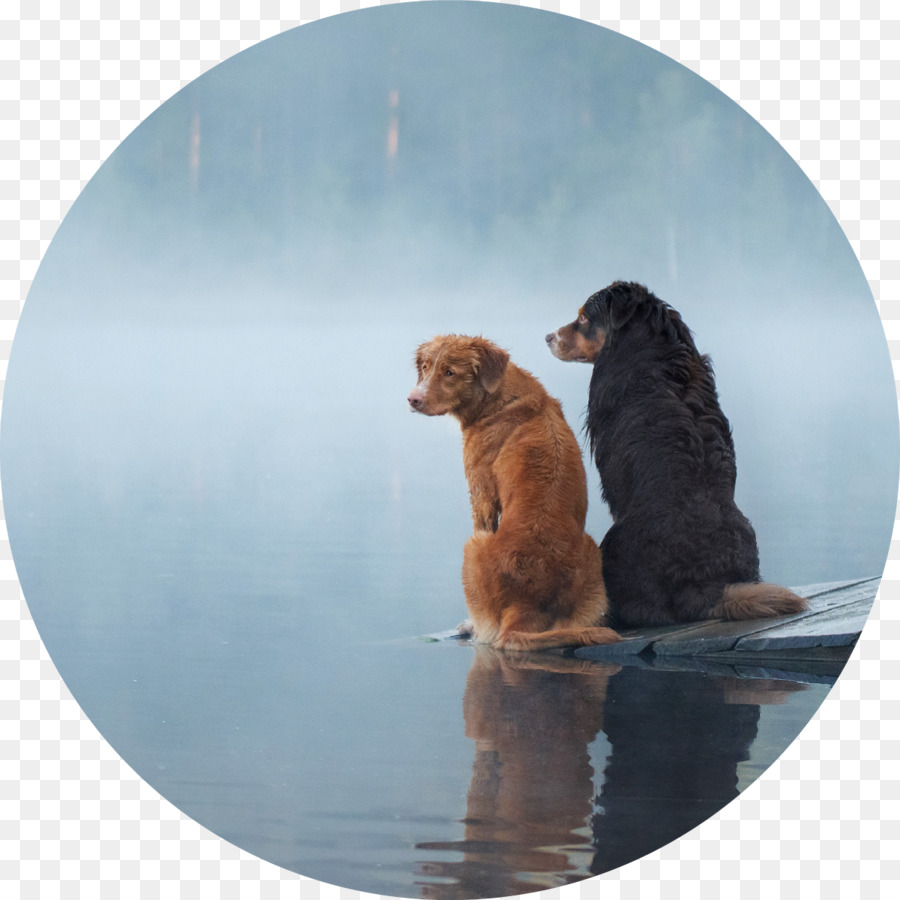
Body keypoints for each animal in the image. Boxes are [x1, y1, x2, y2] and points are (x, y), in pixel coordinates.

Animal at [408, 334, 620, 652]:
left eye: (450, 372)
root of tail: (523, 607)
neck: (499, 397)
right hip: (593, 557)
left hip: (473, 546)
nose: (413, 399)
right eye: (425, 366)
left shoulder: (481, 494)